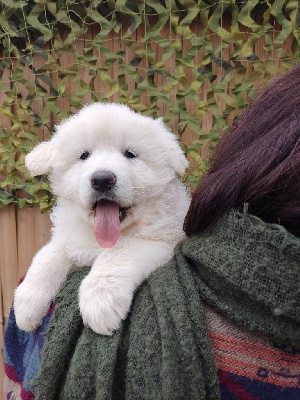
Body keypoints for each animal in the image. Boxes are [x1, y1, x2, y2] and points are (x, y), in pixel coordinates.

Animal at [14, 103, 190, 334]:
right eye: (84, 155)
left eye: (130, 154)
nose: (102, 179)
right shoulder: (70, 238)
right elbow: (47, 256)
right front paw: (27, 304)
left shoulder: (159, 241)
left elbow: (118, 253)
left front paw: (100, 302)